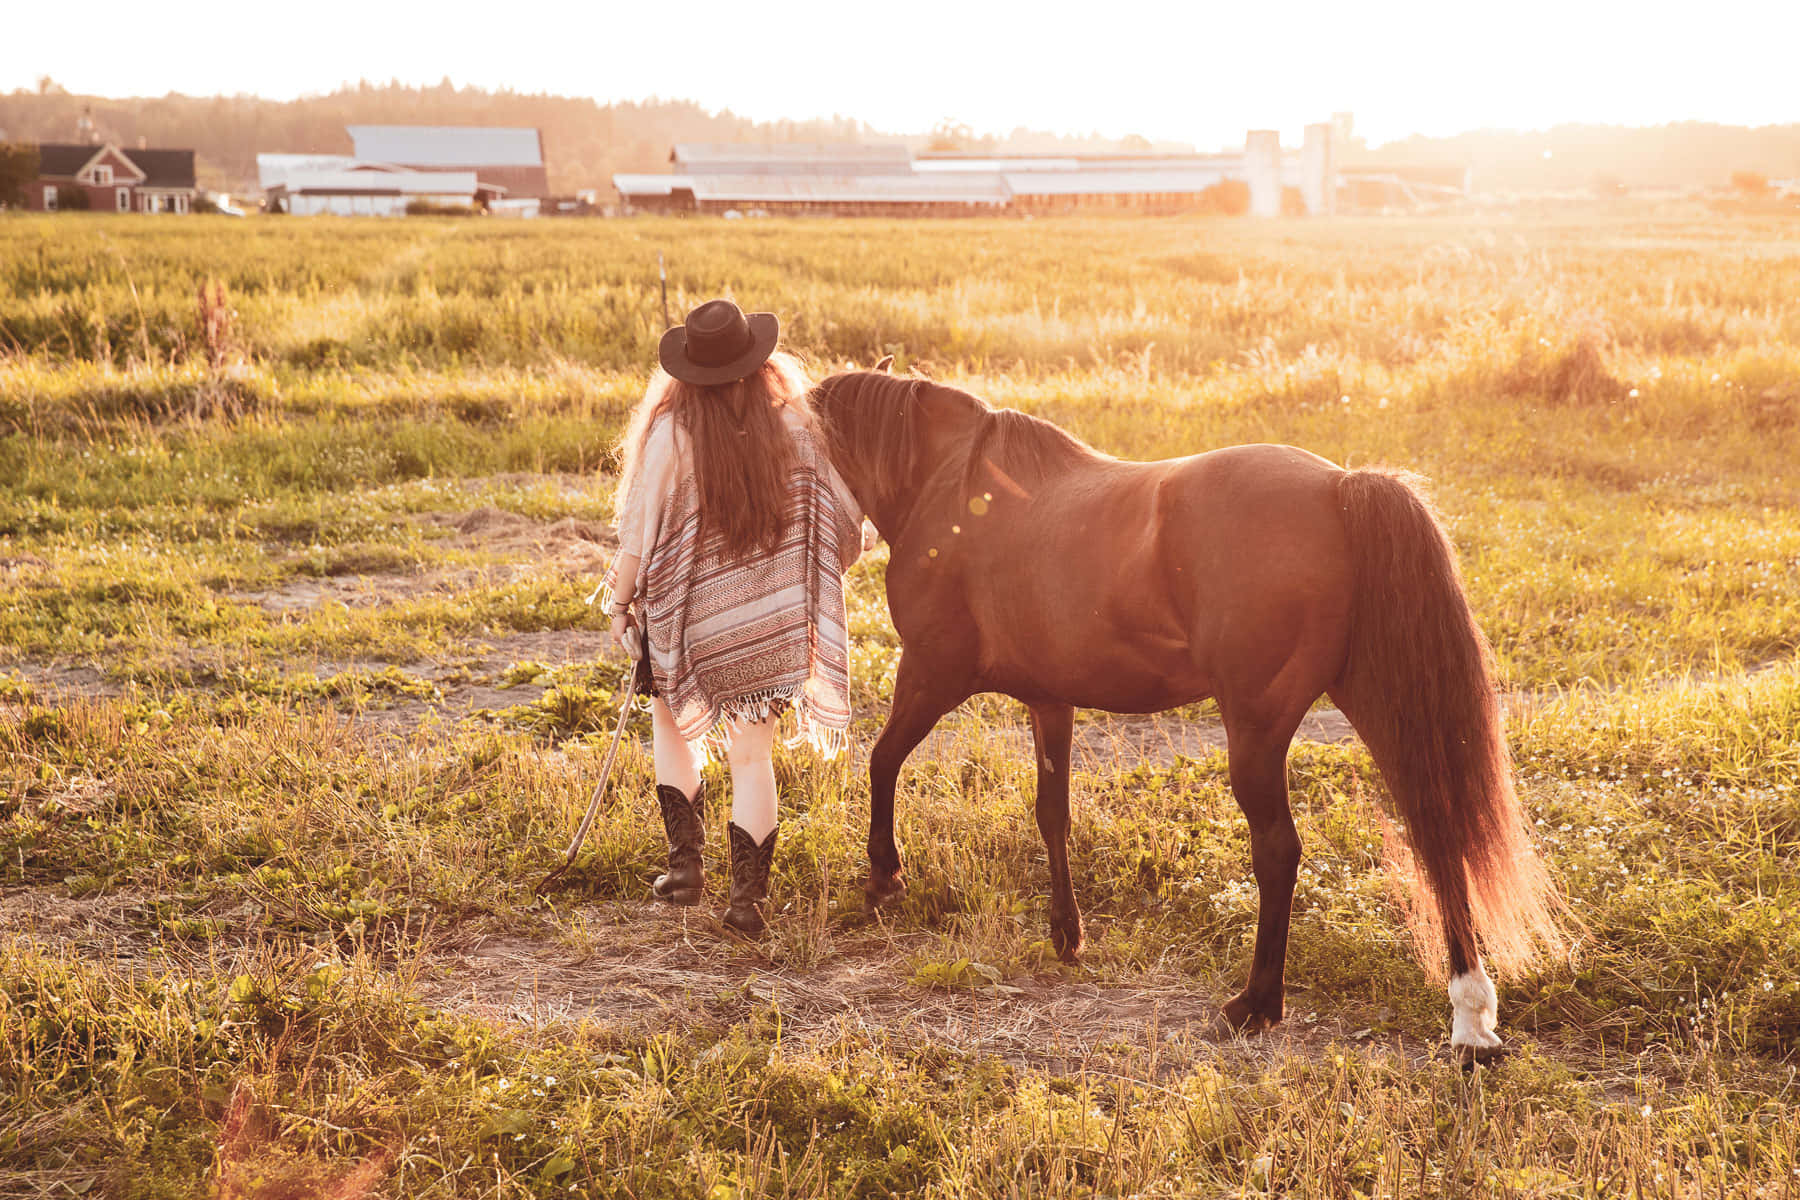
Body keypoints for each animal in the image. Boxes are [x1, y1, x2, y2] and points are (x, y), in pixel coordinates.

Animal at [809, 369, 1565, 1061]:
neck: (948, 485)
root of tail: (1339, 488)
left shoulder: (930, 672)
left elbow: (881, 760)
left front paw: (883, 878)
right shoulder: (1050, 699)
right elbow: (1052, 813)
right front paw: (1066, 933)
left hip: (1259, 730)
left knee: (1281, 851)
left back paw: (1257, 1004)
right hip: (1384, 702)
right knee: (1437, 830)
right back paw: (1471, 1015)